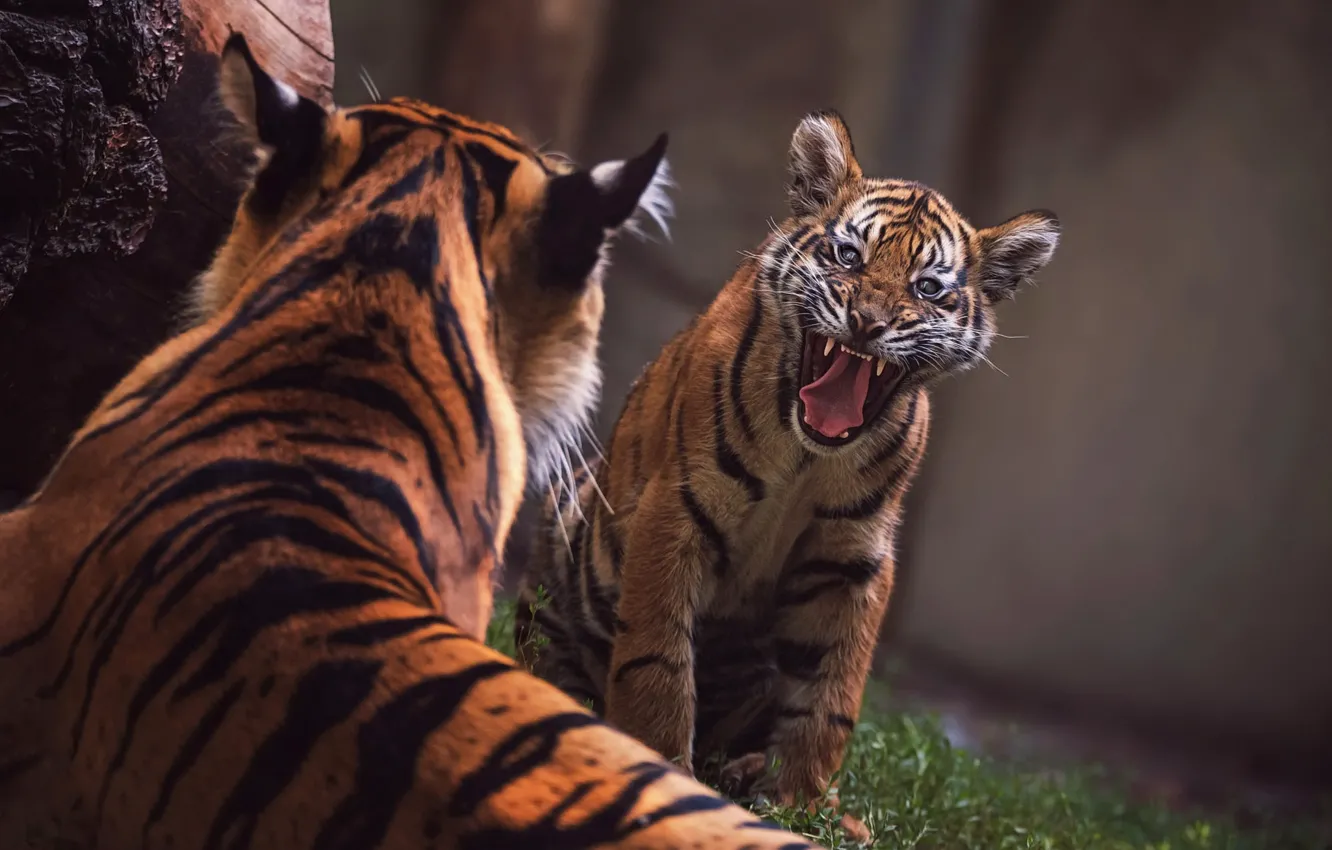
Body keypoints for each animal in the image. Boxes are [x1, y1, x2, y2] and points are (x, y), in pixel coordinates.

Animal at [517, 108, 1061, 829]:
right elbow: (658, 659)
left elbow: (831, 689)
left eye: (927, 288)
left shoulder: (851, 554)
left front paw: (804, 803)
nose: (867, 322)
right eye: (849, 256)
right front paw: (662, 767)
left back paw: (743, 770)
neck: (810, 455)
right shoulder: (677, 508)